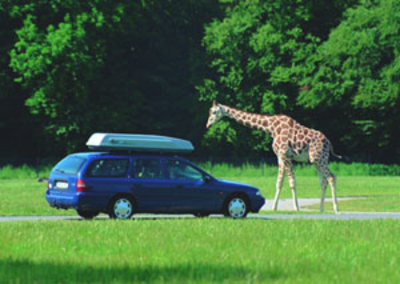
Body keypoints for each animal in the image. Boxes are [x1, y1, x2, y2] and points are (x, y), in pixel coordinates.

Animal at [206, 100, 340, 213]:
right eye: (210, 111)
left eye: (214, 111)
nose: (208, 124)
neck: (270, 127)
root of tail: (329, 142)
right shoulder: (279, 157)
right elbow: (279, 182)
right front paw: (274, 208)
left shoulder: (285, 155)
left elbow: (292, 182)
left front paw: (296, 208)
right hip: (316, 160)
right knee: (323, 181)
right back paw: (321, 209)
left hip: (319, 158)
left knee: (331, 177)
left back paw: (336, 209)